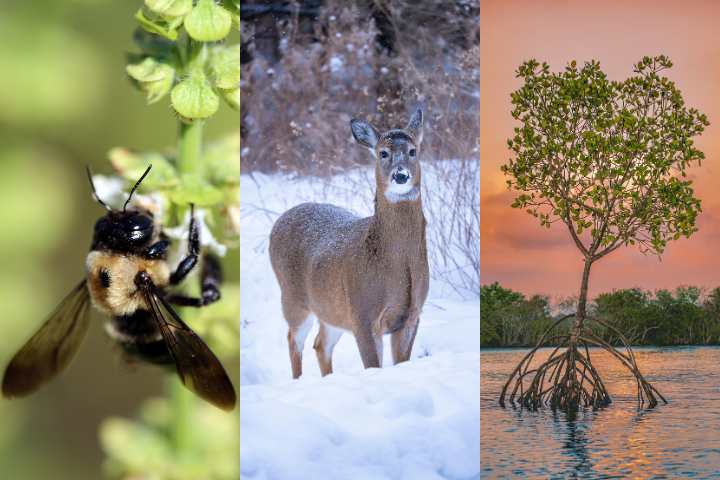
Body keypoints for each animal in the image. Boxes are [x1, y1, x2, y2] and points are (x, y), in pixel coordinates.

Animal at [269, 109, 430, 379]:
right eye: (382, 152)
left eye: (412, 150)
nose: (400, 175)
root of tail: (279, 220)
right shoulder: (362, 313)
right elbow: (373, 366)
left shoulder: (413, 314)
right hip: (291, 296)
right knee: (294, 339)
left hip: (331, 308)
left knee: (320, 344)